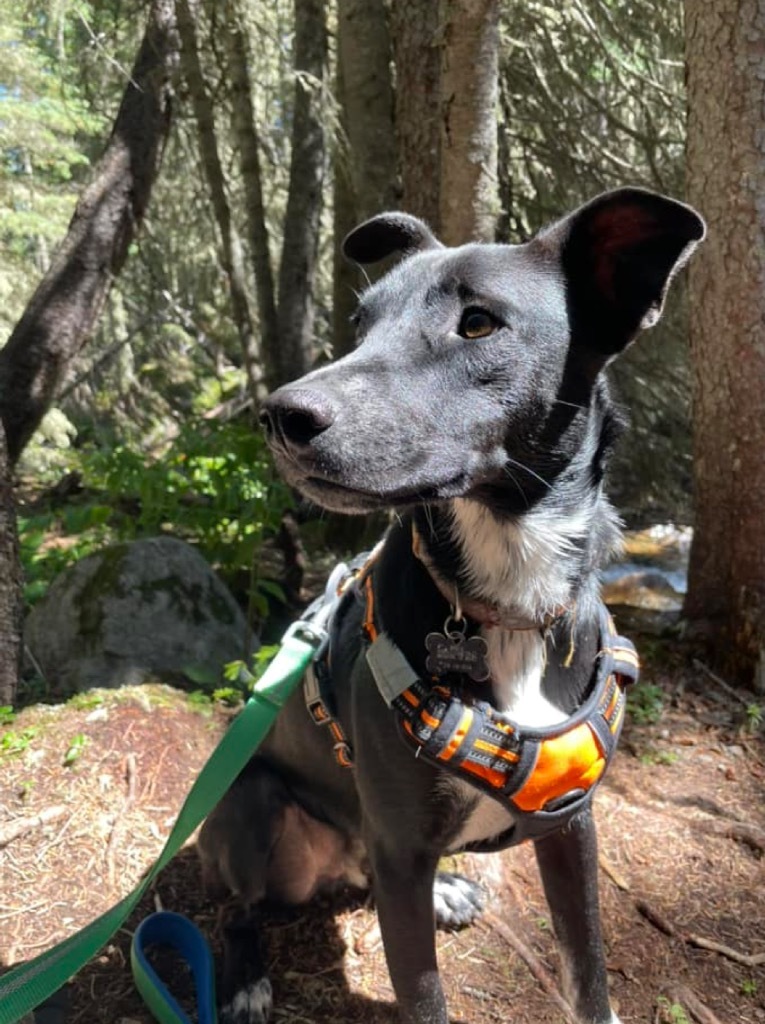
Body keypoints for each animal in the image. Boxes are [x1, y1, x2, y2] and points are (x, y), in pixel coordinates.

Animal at [198, 186, 704, 1024]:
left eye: (477, 323)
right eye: (361, 323)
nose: (281, 416)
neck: (508, 603)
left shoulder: (572, 828)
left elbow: (587, 972)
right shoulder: (400, 846)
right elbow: (424, 997)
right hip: (252, 806)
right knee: (238, 910)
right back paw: (240, 980)